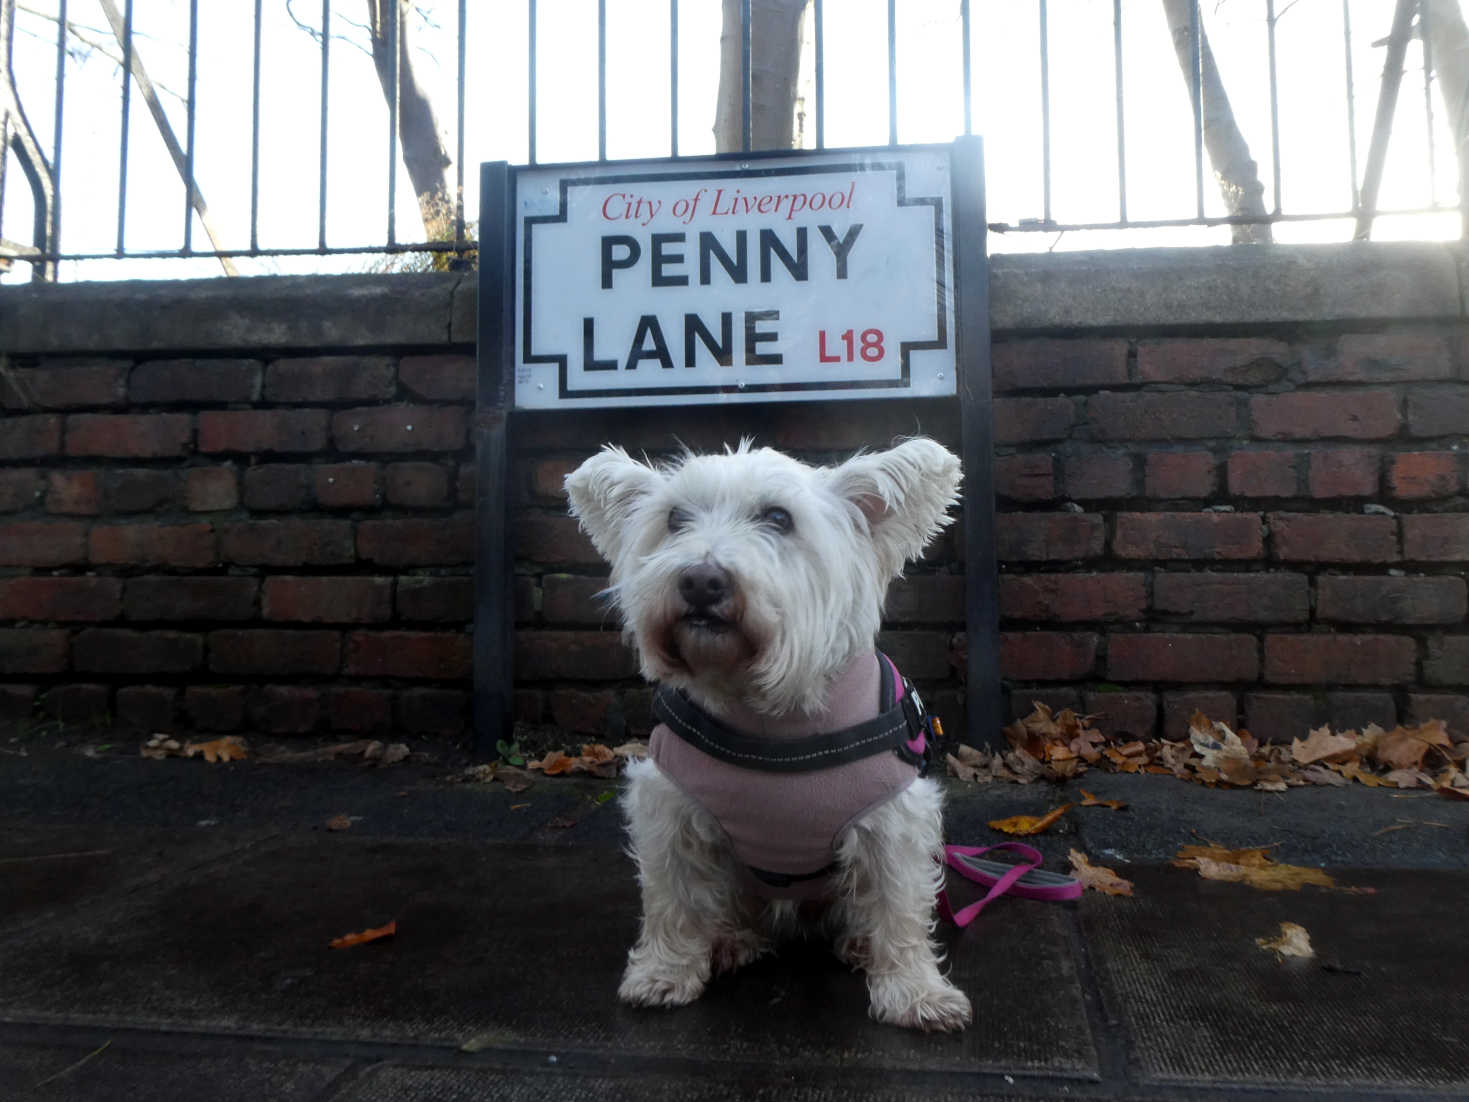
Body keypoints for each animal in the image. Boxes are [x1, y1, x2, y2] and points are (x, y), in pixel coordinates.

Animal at [567, 440, 969, 1034]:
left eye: (778, 518)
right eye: (674, 519)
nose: (700, 581)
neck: (771, 718)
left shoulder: (894, 820)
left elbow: (898, 906)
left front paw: (915, 993)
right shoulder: (669, 805)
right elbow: (674, 898)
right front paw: (663, 973)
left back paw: (858, 945)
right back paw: (730, 940)